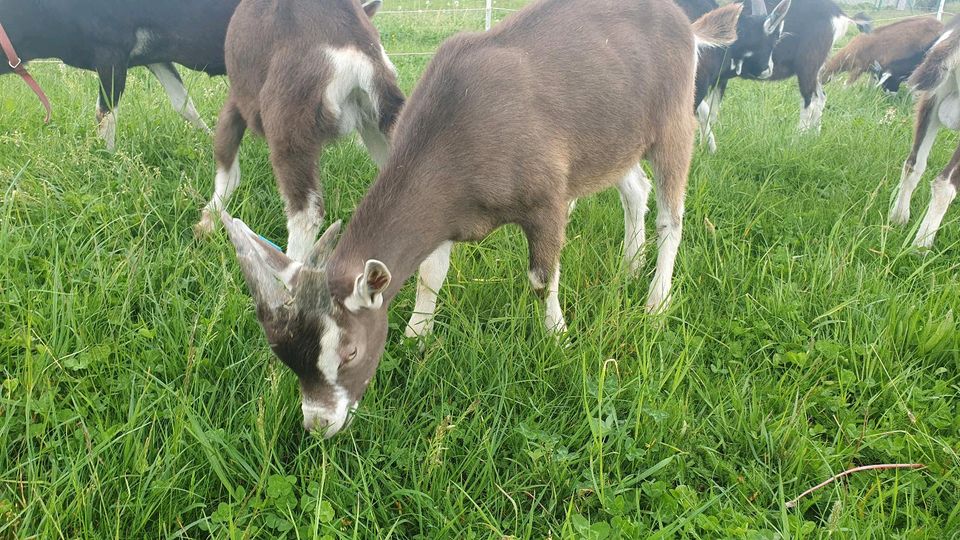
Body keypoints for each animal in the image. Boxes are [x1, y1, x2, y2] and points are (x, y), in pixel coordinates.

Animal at [195, 0, 404, 262]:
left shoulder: (237, 98)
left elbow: (226, 165)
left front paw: (207, 221)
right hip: (383, 117)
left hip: (289, 125)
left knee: (306, 213)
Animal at [223, 0, 744, 434]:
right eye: (285, 355)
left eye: (349, 350)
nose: (319, 424)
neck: (460, 127)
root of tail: (687, 26)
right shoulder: (445, 215)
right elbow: (431, 273)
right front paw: (417, 336)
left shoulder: (547, 199)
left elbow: (541, 277)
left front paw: (558, 339)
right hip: (613, 139)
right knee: (634, 189)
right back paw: (629, 267)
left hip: (675, 120)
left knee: (671, 216)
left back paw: (656, 301)